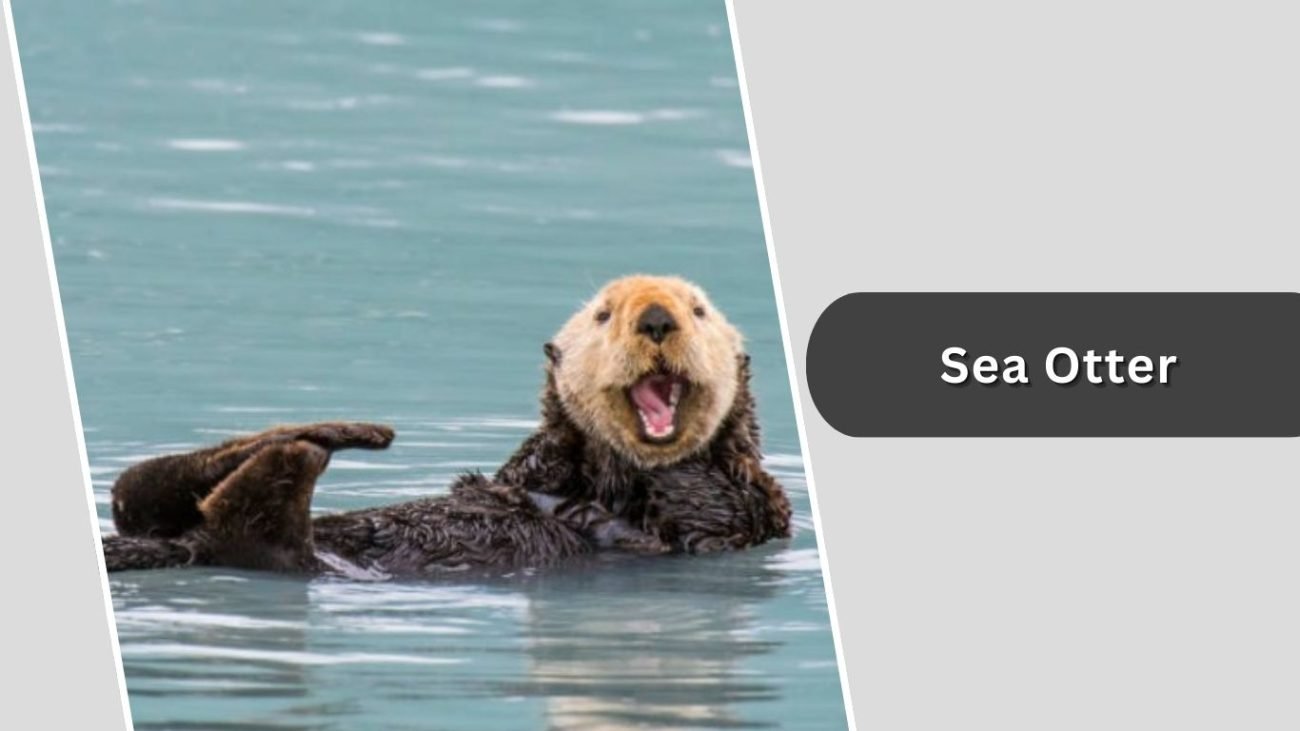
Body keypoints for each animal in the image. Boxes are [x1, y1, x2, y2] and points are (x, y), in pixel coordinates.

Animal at [102, 275, 792, 576]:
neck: (613, 478)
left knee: (237, 519)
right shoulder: (534, 464)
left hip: (285, 553)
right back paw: (334, 432)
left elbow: (696, 511)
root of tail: (188, 545)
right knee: (139, 490)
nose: (655, 318)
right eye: (603, 315)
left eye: (698, 310)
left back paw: (310, 447)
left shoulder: (745, 508)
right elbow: (520, 475)